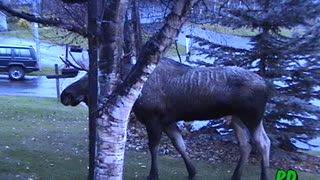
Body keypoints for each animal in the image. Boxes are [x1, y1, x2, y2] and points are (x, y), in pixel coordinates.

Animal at [59, 58, 270, 180]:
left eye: (90, 79)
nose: (65, 94)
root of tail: (266, 84)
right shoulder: (168, 121)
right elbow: (180, 145)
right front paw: (192, 171)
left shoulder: (153, 119)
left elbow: (154, 147)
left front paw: (153, 175)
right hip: (236, 118)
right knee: (246, 145)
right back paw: (236, 176)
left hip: (252, 117)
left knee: (263, 143)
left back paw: (264, 176)